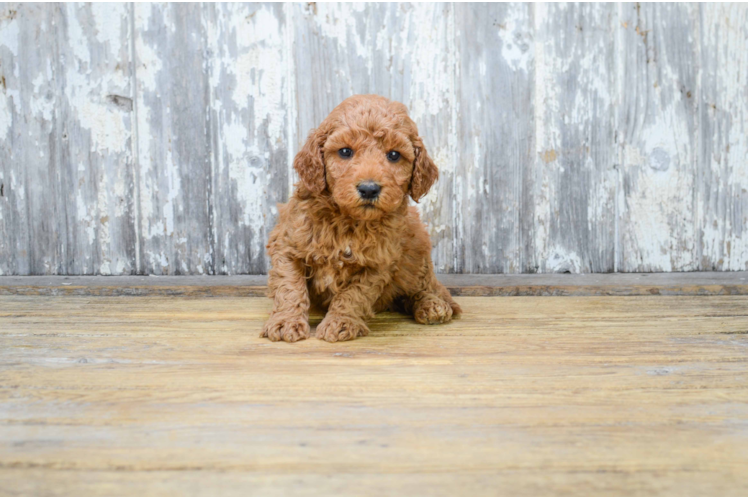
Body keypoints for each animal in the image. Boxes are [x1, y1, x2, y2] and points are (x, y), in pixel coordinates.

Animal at [262, 94, 462, 342]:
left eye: (394, 155)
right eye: (345, 152)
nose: (369, 189)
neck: (348, 221)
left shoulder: (378, 264)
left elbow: (354, 294)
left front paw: (341, 322)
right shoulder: (287, 245)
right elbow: (289, 287)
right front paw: (286, 322)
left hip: (417, 251)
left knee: (427, 286)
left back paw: (433, 305)